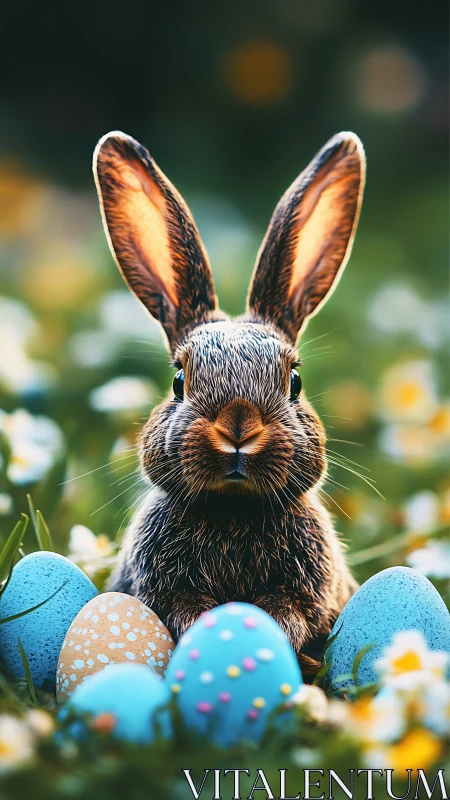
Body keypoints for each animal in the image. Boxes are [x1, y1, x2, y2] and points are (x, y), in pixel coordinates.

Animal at [93, 129, 365, 674]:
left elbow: (289, 614)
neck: (233, 510)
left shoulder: (306, 593)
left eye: (294, 381)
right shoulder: (163, 591)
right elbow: (182, 612)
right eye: (179, 379)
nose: (239, 426)